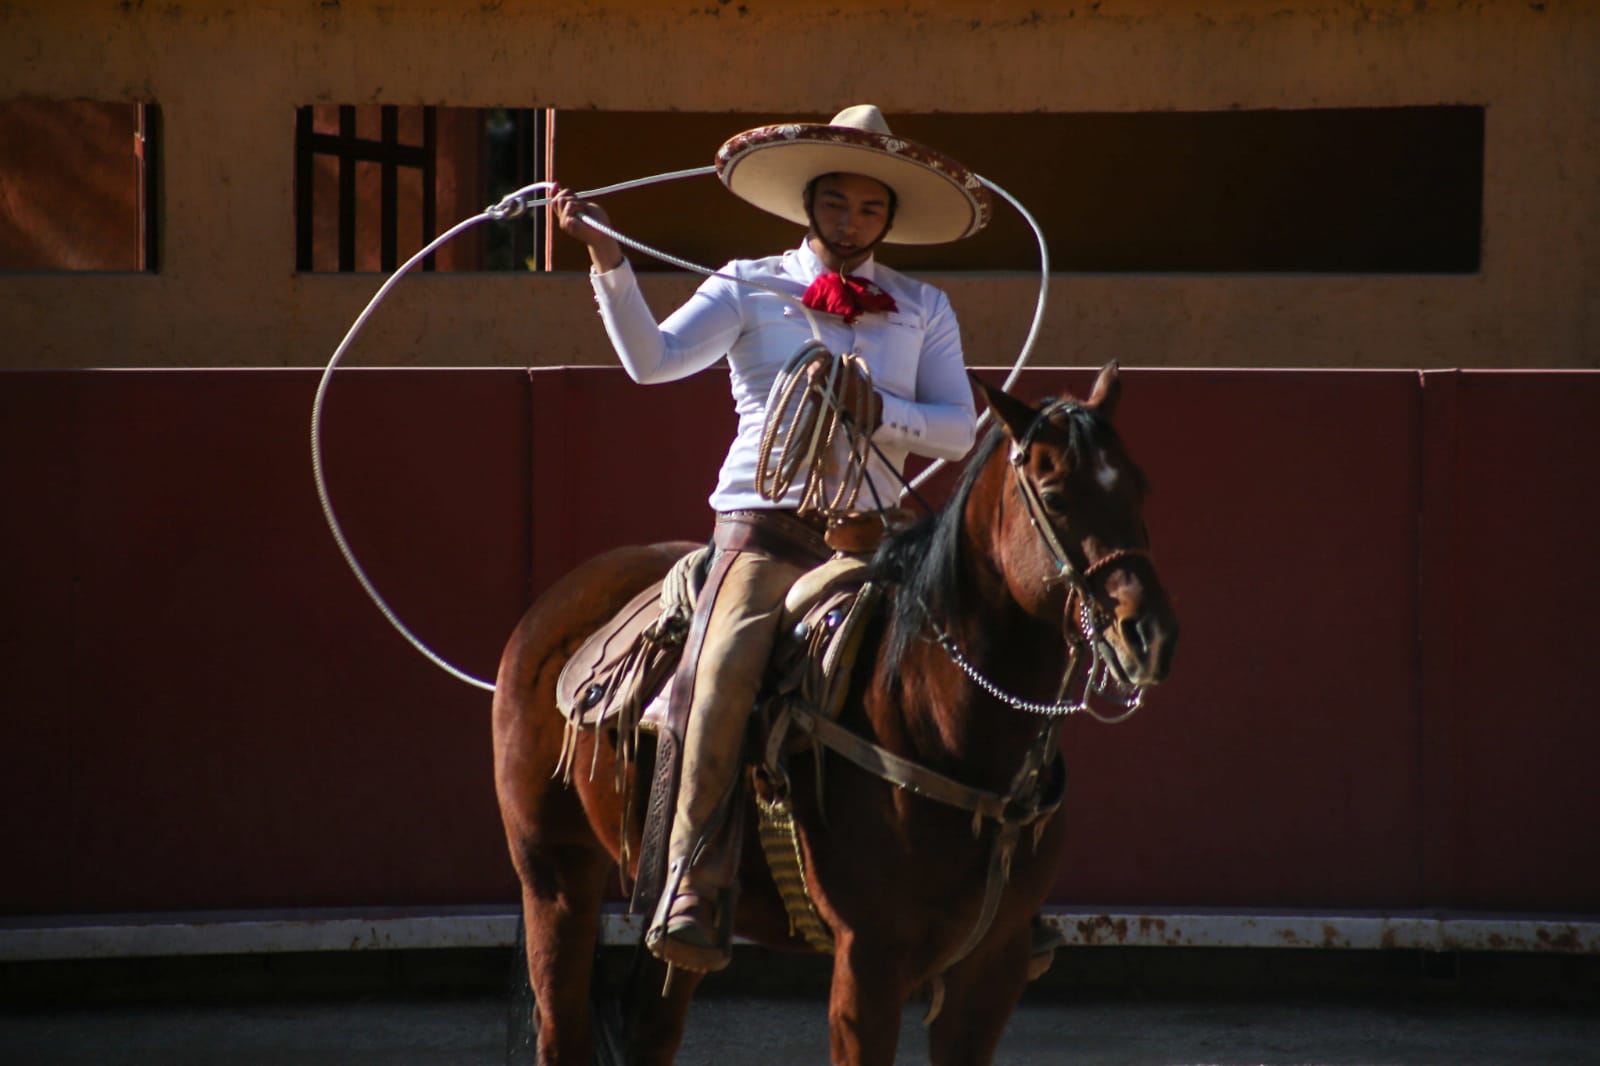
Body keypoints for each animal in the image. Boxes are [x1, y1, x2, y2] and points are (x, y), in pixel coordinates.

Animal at [492, 361, 1184, 1056]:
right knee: (561, 1027)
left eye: (1141, 487)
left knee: (651, 1023)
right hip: (553, 874)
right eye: (1056, 495)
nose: (1148, 636)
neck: (941, 727)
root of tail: (558, 600)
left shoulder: (993, 970)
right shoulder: (868, 966)